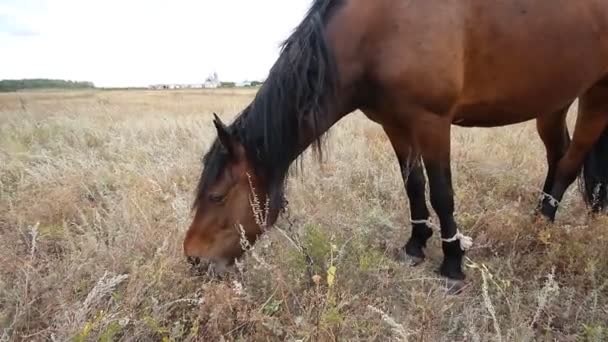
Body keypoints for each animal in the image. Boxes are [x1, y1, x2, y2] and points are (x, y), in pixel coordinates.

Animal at [183, 0, 608, 288]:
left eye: (217, 196)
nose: (193, 259)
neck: (381, 29)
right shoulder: (396, 124)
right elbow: (413, 185)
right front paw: (415, 245)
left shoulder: (433, 122)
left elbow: (442, 193)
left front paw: (452, 263)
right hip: (553, 100)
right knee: (558, 154)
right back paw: (539, 220)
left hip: (597, 93)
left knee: (570, 161)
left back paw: (541, 230)